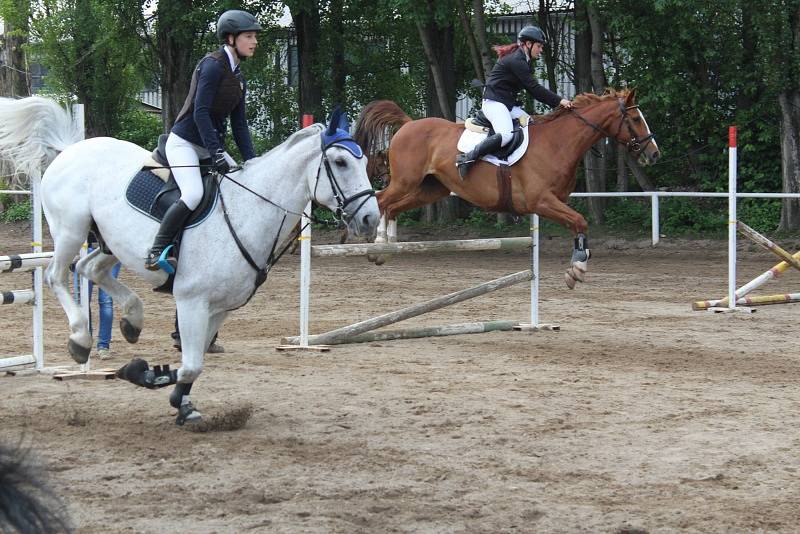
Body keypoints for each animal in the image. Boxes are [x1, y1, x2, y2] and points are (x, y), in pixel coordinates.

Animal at [0, 98, 380, 428]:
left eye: (364, 163)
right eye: (341, 163)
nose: (370, 220)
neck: (247, 211)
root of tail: (70, 150)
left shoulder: (219, 309)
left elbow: (191, 366)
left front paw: (172, 396)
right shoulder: (192, 302)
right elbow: (191, 364)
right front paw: (148, 377)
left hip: (109, 242)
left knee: (89, 269)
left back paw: (132, 319)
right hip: (71, 230)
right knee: (56, 275)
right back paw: (80, 339)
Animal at [356, 89, 664, 288]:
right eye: (635, 119)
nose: (654, 154)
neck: (559, 143)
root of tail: (409, 124)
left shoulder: (554, 202)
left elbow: (579, 226)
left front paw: (578, 265)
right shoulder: (542, 202)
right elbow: (581, 221)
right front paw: (576, 270)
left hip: (431, 188)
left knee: (393, 207)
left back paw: (386, 250)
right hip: (405, 182)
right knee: (381, 201)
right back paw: (374, 246)